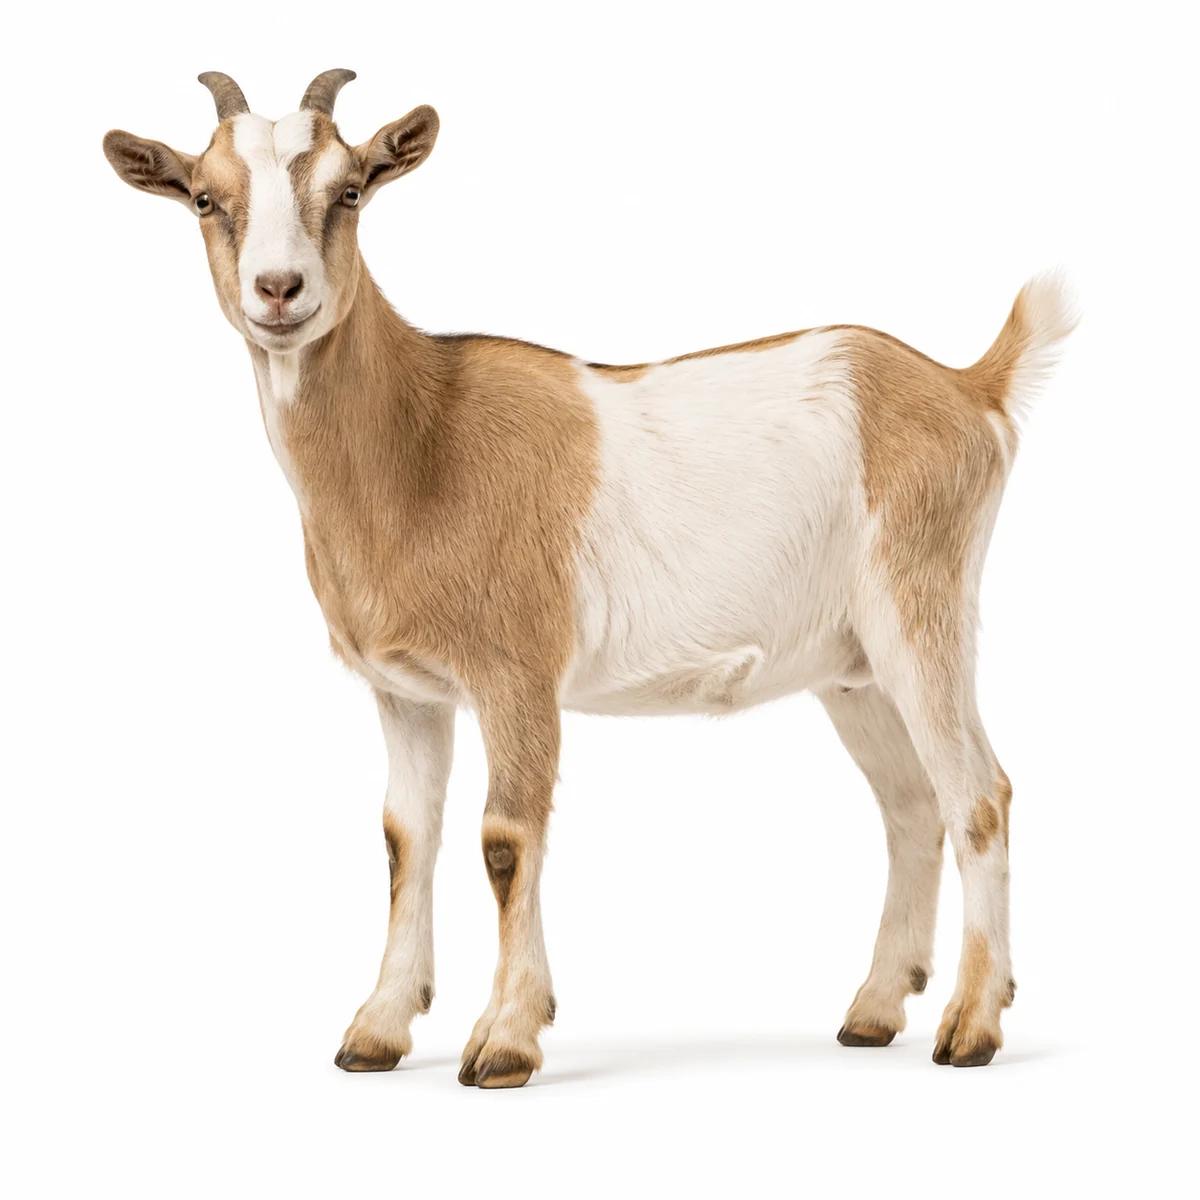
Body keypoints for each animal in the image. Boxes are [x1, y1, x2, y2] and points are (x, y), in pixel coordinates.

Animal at [103, 69, 1073, 1086]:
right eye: (204, 198)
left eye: (352, 190)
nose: (279, 289)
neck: (421, 439)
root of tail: (971, 388)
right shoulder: (405, 691)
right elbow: (406, 838)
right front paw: (376, 1029)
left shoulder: (517, 672)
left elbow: (505, 838)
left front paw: (504, 1040)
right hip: (852, 668)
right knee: (912, 806)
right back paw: (876, 1011)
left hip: (921, 606)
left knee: (979, 795)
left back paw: (971, 1027)